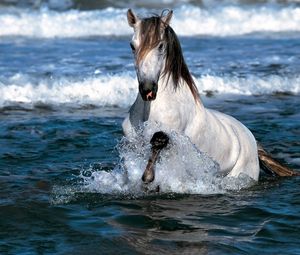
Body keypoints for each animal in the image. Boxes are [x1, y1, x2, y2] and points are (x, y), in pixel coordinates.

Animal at [122, 8, 298, 183]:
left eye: (160, 46)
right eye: (132, 46)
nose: (147, 89)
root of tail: (252, 141)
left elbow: (158, 142)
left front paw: (148, 176)